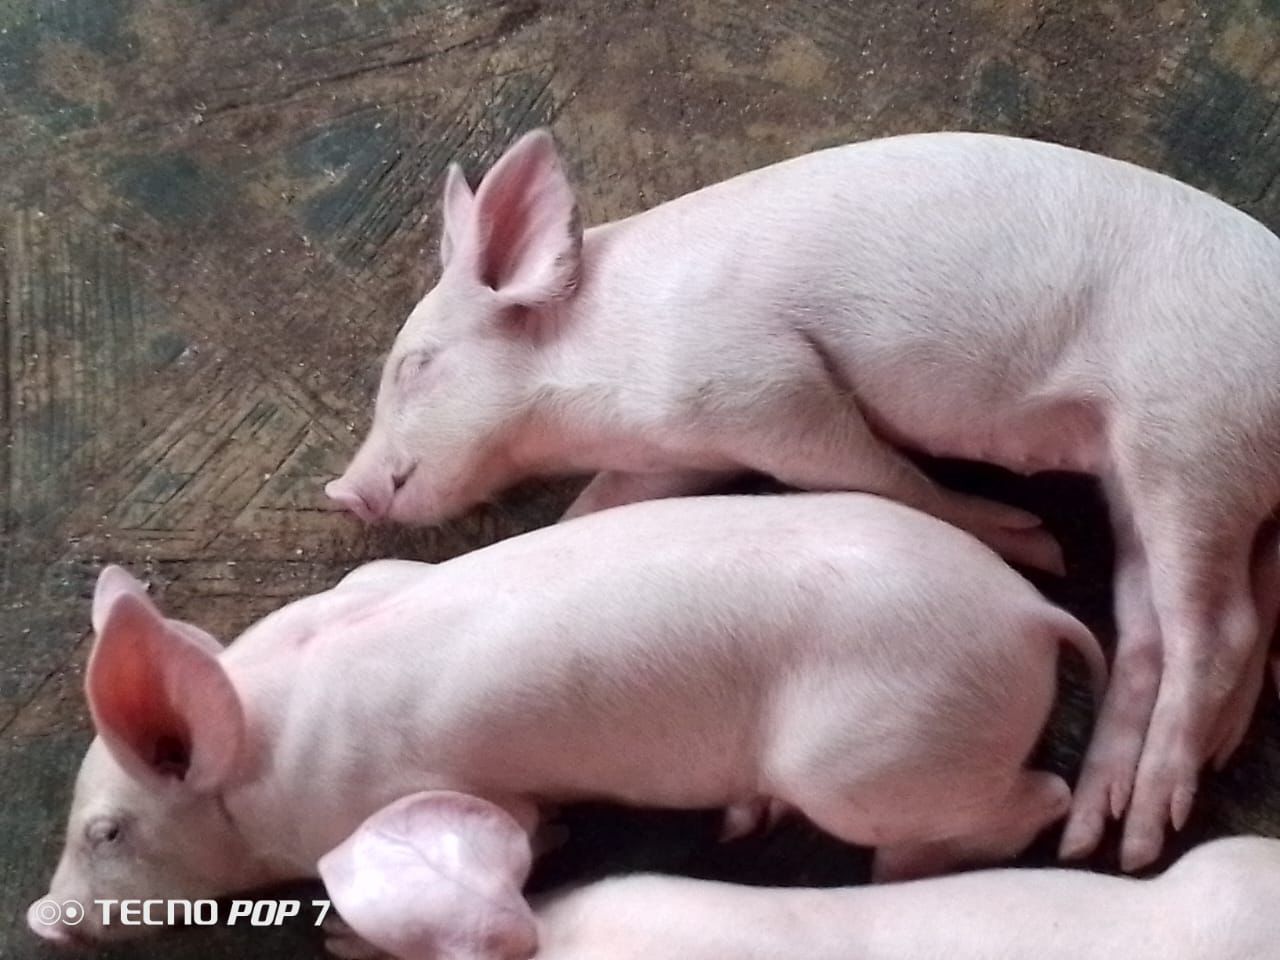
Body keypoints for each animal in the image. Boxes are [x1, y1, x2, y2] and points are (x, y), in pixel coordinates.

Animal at [30, 493, 1103, 948]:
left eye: (107, 833)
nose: (45, 919)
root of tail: (1027, 613)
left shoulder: (425, 788)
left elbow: (523, 827)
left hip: (876, 751)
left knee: (1035, 797)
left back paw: (896, 872)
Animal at [324, 128, 1280, 870]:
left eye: (415, 365)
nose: (344, 489)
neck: (595, 374)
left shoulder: (766, 387)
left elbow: (877, 472)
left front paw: (1034, 541)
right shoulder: (677, 449)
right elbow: (593, 512)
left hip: (1190, 435)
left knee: (1218, 627)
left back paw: (1142, 838)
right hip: (1137, 464)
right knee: (1155, 628)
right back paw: (1095, 828)